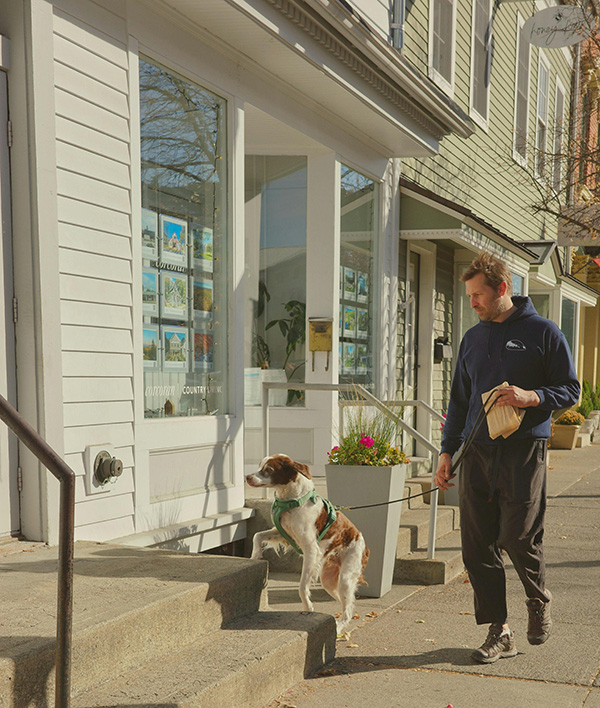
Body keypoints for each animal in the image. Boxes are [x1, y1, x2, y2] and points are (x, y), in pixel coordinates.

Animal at [245, 456, 368, 632]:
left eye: (268, 469)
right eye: (260, 466)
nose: (247, 477)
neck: (292, 500)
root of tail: (362, 542)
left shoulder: (311, 550)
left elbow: (302, 586)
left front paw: (308, 607)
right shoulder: (282, 533)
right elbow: (257, 535)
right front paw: (255, 556)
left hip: (346, 576)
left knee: (348, 607)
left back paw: (338, 628)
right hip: (328, 580)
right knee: (347, 603)